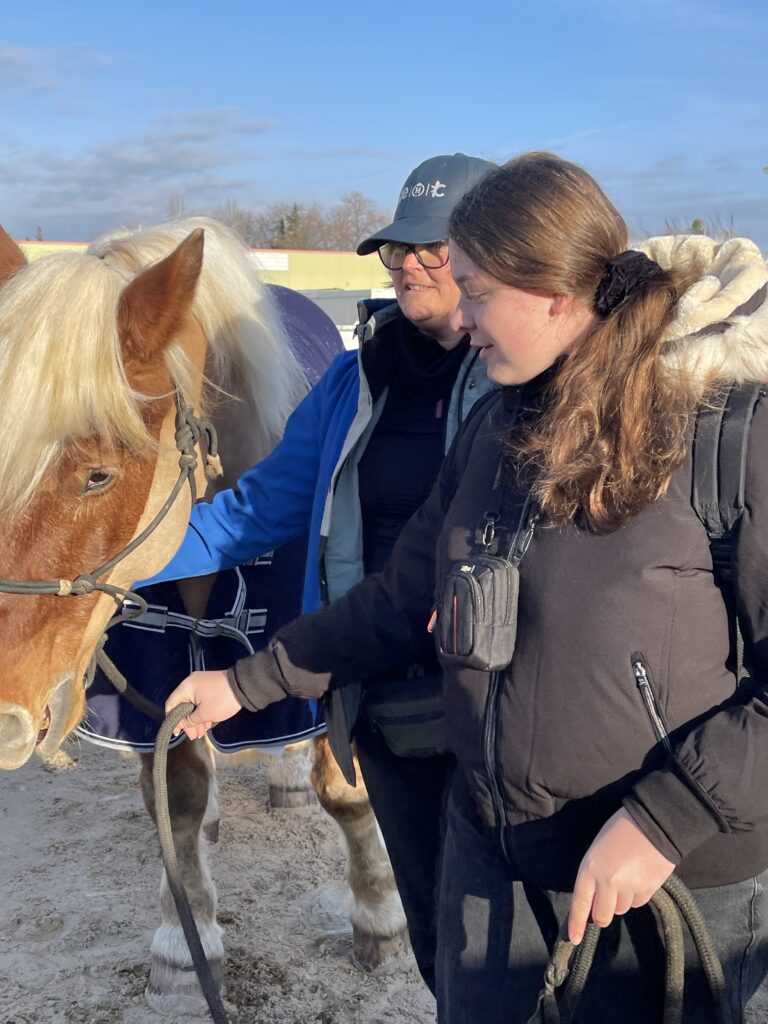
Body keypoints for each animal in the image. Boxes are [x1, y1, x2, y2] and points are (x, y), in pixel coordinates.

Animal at [0, 218, 409, 1016]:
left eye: (98, 474)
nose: (3, 717)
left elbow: (347, 794)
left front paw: (380, 914)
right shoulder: (154, 677)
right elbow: (179, 798)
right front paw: (184, 945)